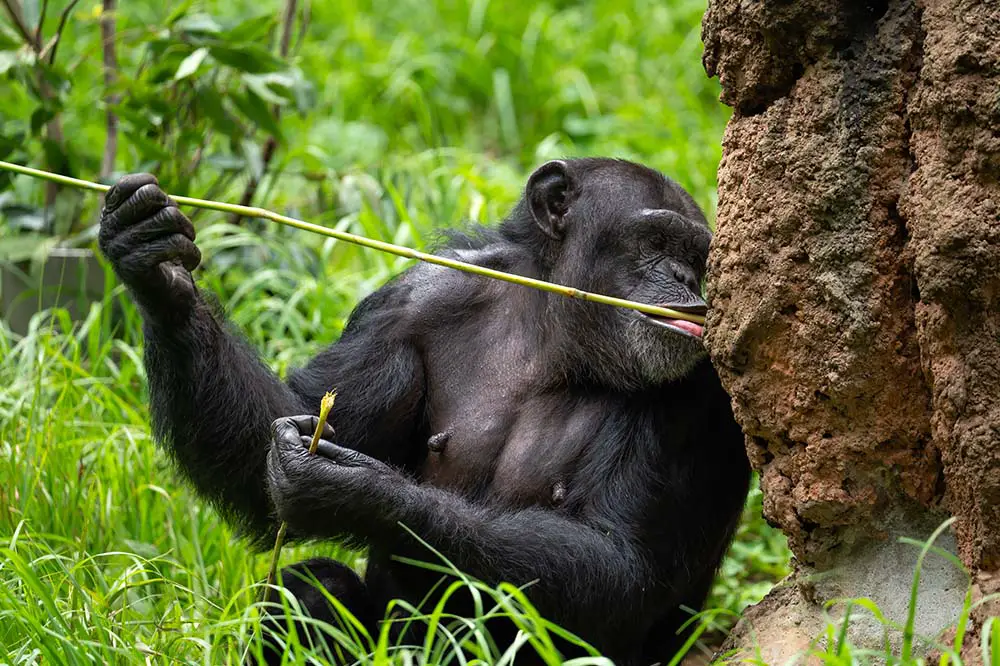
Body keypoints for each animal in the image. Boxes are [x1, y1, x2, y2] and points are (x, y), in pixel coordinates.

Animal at [97, 158, 752, 660]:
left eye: (698, 255)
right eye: (656, 242)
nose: (685, 278)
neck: (555, 330)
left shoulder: (704, 392)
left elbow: (622, 562)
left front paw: (353, 491)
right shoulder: (404, 307)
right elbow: (281, 435)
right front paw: (158, 270)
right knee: (305, 592)